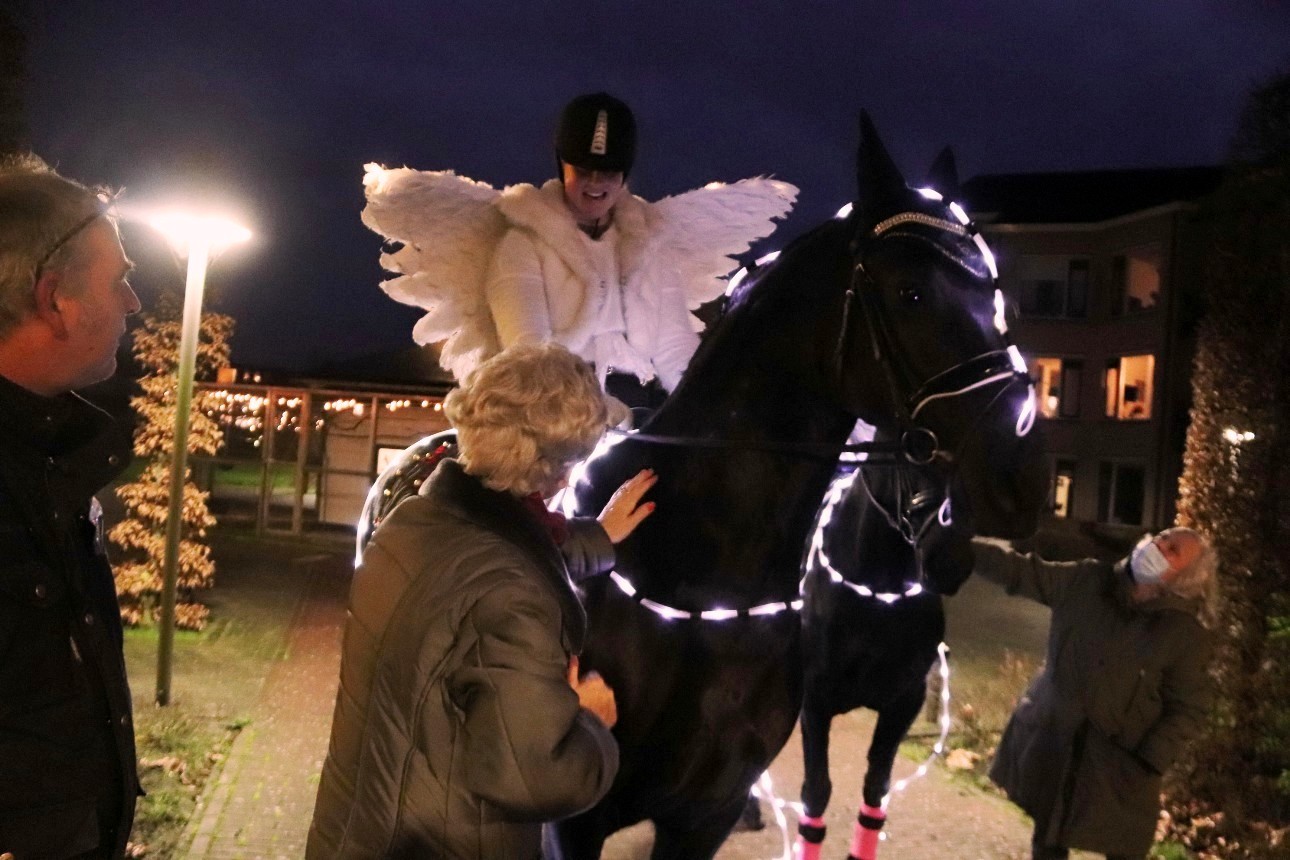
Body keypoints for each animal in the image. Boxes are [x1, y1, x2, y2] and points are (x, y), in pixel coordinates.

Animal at [794, 422, 975, 860]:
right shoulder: (815, 699)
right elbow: (816, 793)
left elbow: (876, 793)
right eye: (916, 443)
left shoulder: (903, 702)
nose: (953, 559)